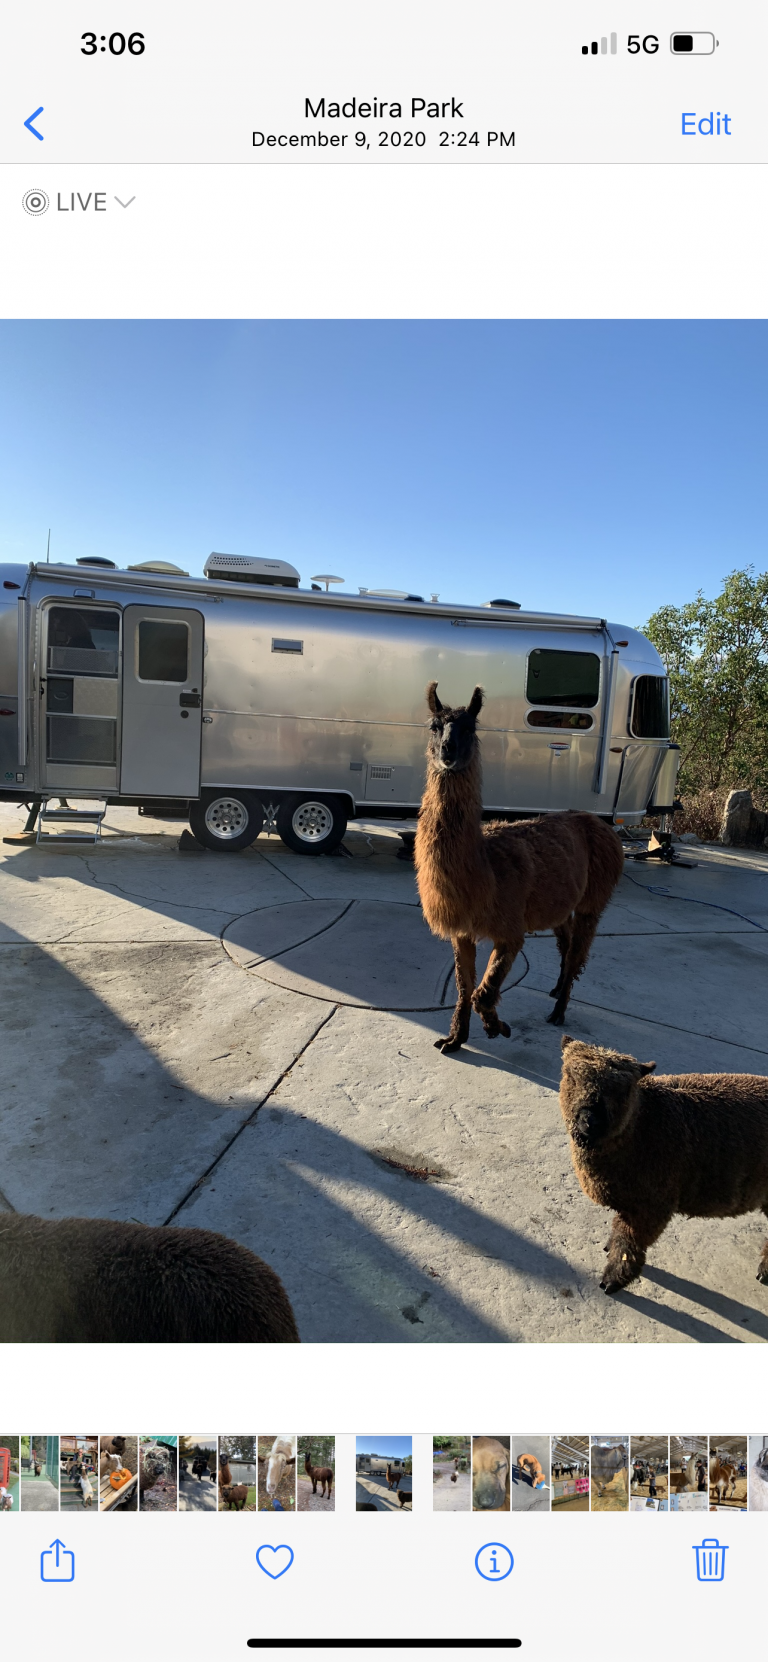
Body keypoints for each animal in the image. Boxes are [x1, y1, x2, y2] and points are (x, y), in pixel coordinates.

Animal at [414, 683, 624, 1052]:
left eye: (469, 728)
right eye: (434, 727)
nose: (448, 750)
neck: (483, 868)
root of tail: (601, 824)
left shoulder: (510, 930)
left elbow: (483, 993)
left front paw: (496, 1027)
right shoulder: (462, 930)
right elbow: (464, 987)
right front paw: (454, 1039)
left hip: (593, 900)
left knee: (577, 951)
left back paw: (558, 1011)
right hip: (558, 902)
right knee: (566, 941)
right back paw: (555, 990)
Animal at [558, 1036, 768, 1293]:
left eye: (623, 1091)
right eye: (571, 1076)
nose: (590, 1121)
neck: (642, 1123)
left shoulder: (653, 1204)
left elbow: (628, 1244)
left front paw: (613, 1280)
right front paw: (609, 1249)